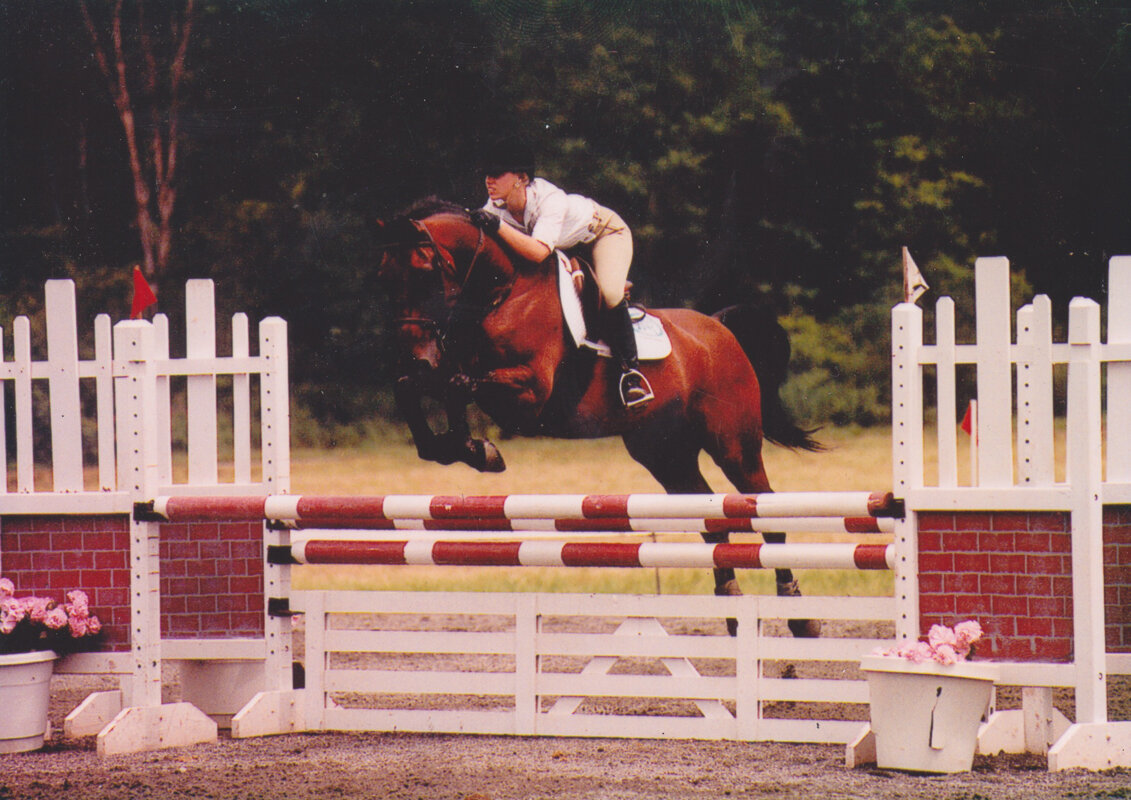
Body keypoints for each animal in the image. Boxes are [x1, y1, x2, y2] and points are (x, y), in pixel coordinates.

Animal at [377, 196, 823, 633]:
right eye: (385, 276)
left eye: (424, 273)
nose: (416, 356)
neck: (504, 292)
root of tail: (718, 329)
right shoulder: (456, 370)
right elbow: (421, 387)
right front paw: (463, 448)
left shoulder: (530, 393)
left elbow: (455, 386)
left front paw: (475, 448)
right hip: (666, 455)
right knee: (709, 513)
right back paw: (731, 605)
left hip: (732, 445)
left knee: (765, 510)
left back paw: (799, 615)